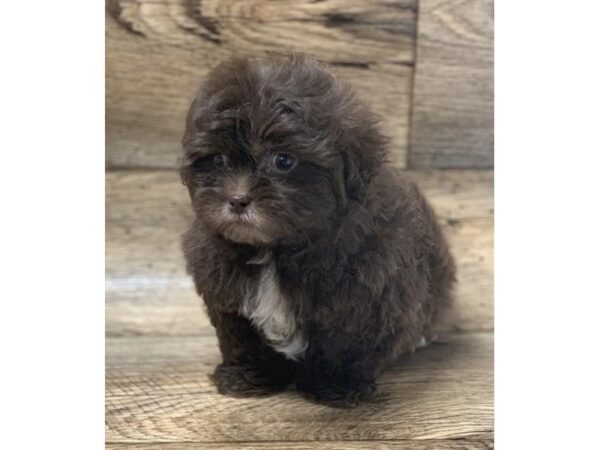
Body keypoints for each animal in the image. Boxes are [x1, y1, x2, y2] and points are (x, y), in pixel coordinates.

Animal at [180, 53, 458, 408]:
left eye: (283, 161)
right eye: (217, 160)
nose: (238, 199)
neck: (275, 249)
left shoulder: (365, 295)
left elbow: (344, 344)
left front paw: (334, 385)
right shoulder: (226, 289)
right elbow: (242, 338)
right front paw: (248, 375)